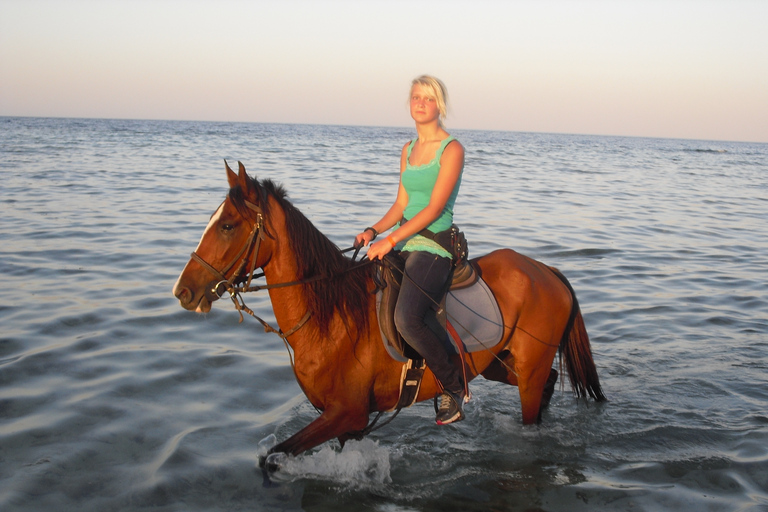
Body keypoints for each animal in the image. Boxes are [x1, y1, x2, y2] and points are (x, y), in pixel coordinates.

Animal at [172, 162, 608, 458]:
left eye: (227, 225)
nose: (183, 291)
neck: (331, 317)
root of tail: (545, 271)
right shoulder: (343, 422)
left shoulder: (346, 414)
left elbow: (273, 458)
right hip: (500, 363)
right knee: (548, 381)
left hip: (527, 368)